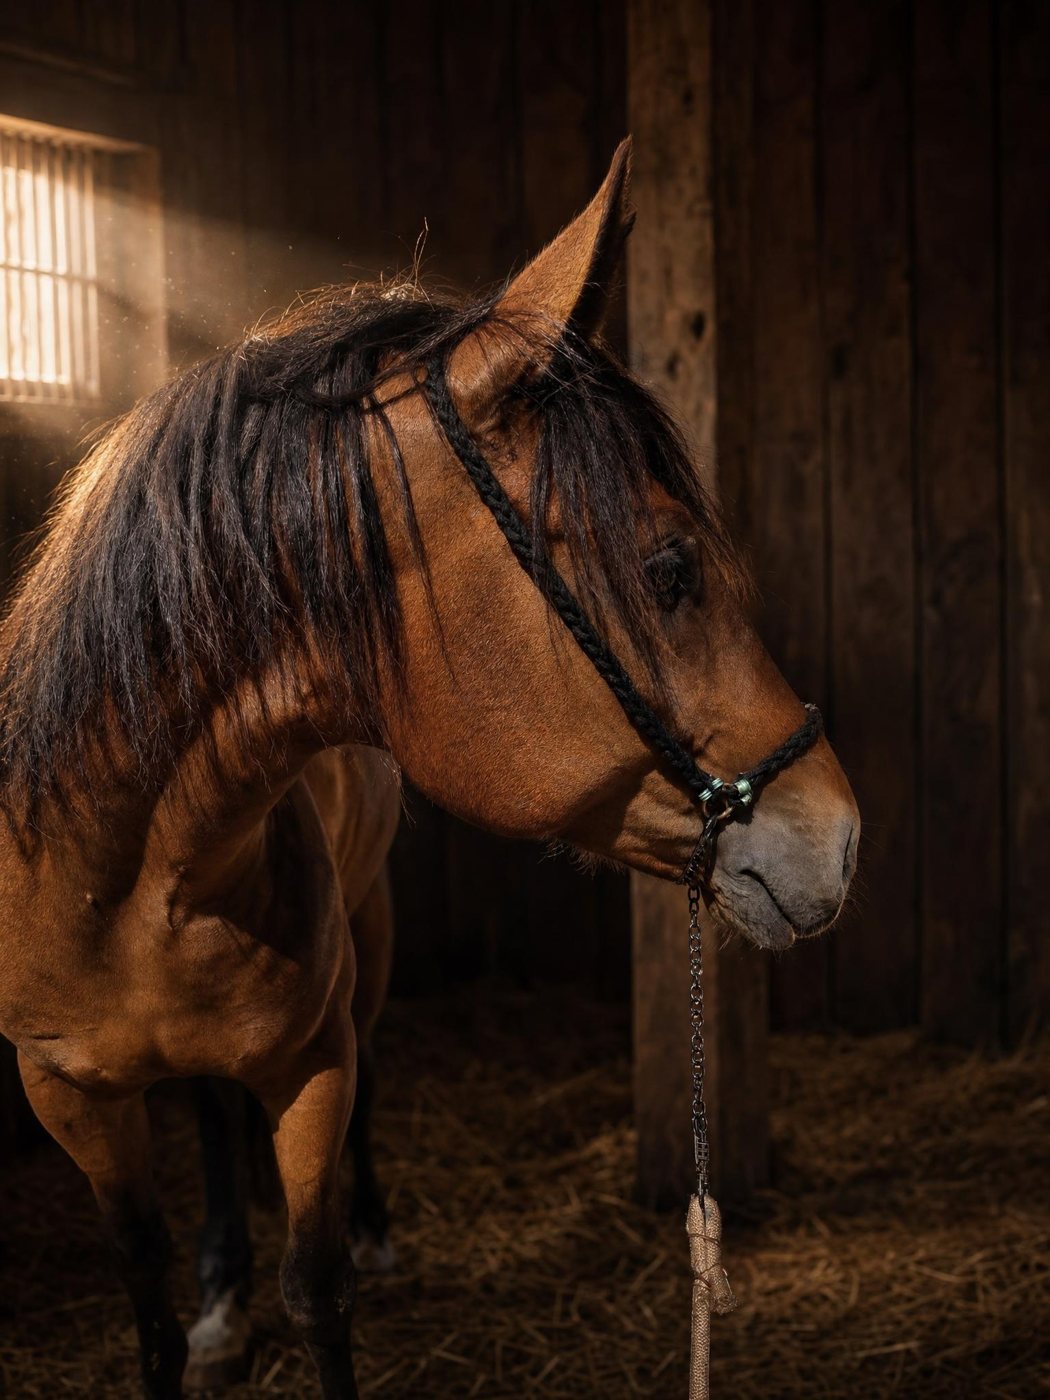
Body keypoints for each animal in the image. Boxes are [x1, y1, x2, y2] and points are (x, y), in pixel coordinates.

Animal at [0, 139, 859, 1398]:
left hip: (373, 943)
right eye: (669, 569)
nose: (840, 834)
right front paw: (197, 1306)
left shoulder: (314, 1063)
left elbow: (318, 1287)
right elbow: (147, 1306)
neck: (129, 870)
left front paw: (323, 1262)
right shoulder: (65, 1095)